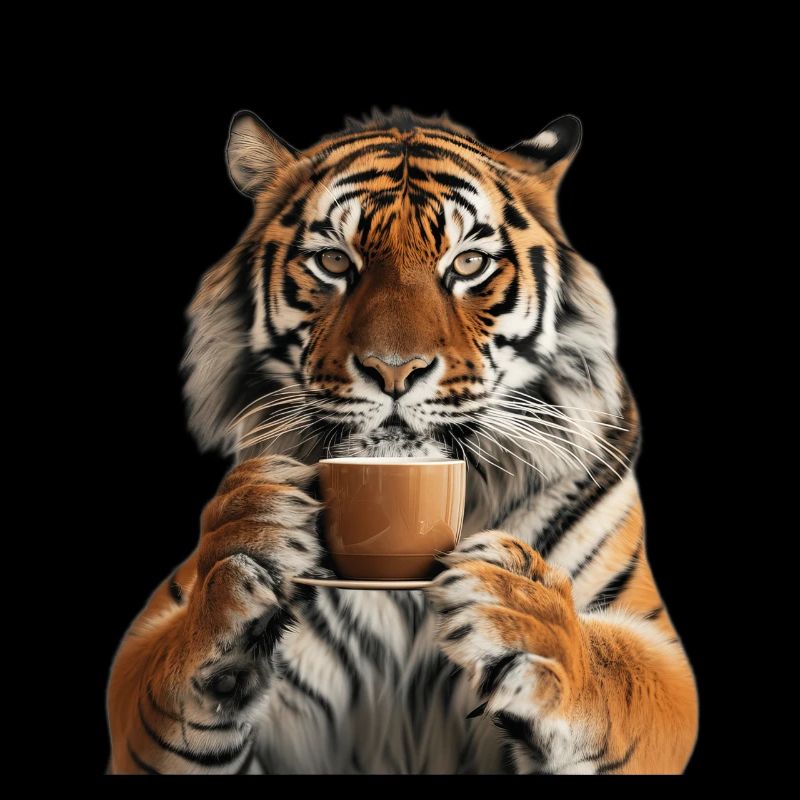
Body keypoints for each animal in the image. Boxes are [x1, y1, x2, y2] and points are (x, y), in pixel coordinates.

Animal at [106, 107, 699, 774]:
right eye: (335, 263)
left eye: (467, 265)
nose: (394, 371)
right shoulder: (139, 661)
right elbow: (164, 662)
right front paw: (251, 532)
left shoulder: (660, 651)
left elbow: (617, 671)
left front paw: (523, 615)